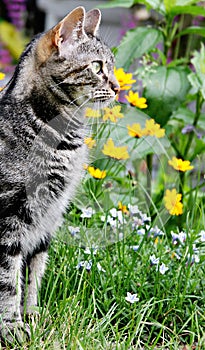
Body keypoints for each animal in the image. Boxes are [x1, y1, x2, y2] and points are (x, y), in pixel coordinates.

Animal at [0, 6, 119, 344]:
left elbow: (33, 275)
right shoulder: (9, 220)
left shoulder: (47, 220)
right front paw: (11, 328)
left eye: (112, 66)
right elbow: (8, 280)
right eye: (97, 66)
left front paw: (32, 316)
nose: (118, 87)